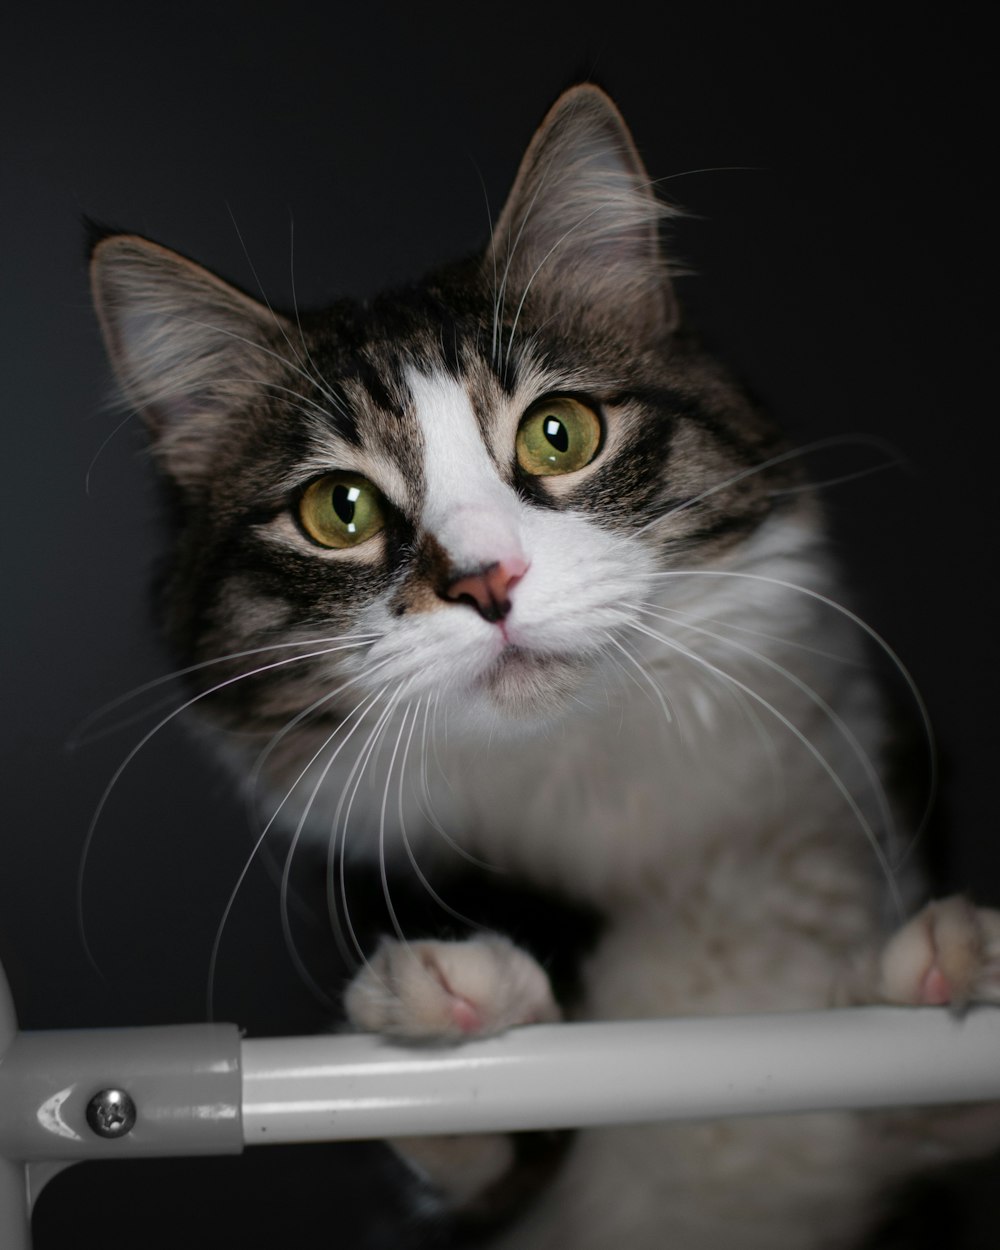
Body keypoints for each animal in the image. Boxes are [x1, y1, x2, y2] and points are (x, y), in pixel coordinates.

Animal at [88, 83, 1000, 1245]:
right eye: (341, 510)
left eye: (559, 433)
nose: (488, 579)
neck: (600, 782)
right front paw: (453, 1003)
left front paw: (941, 975)